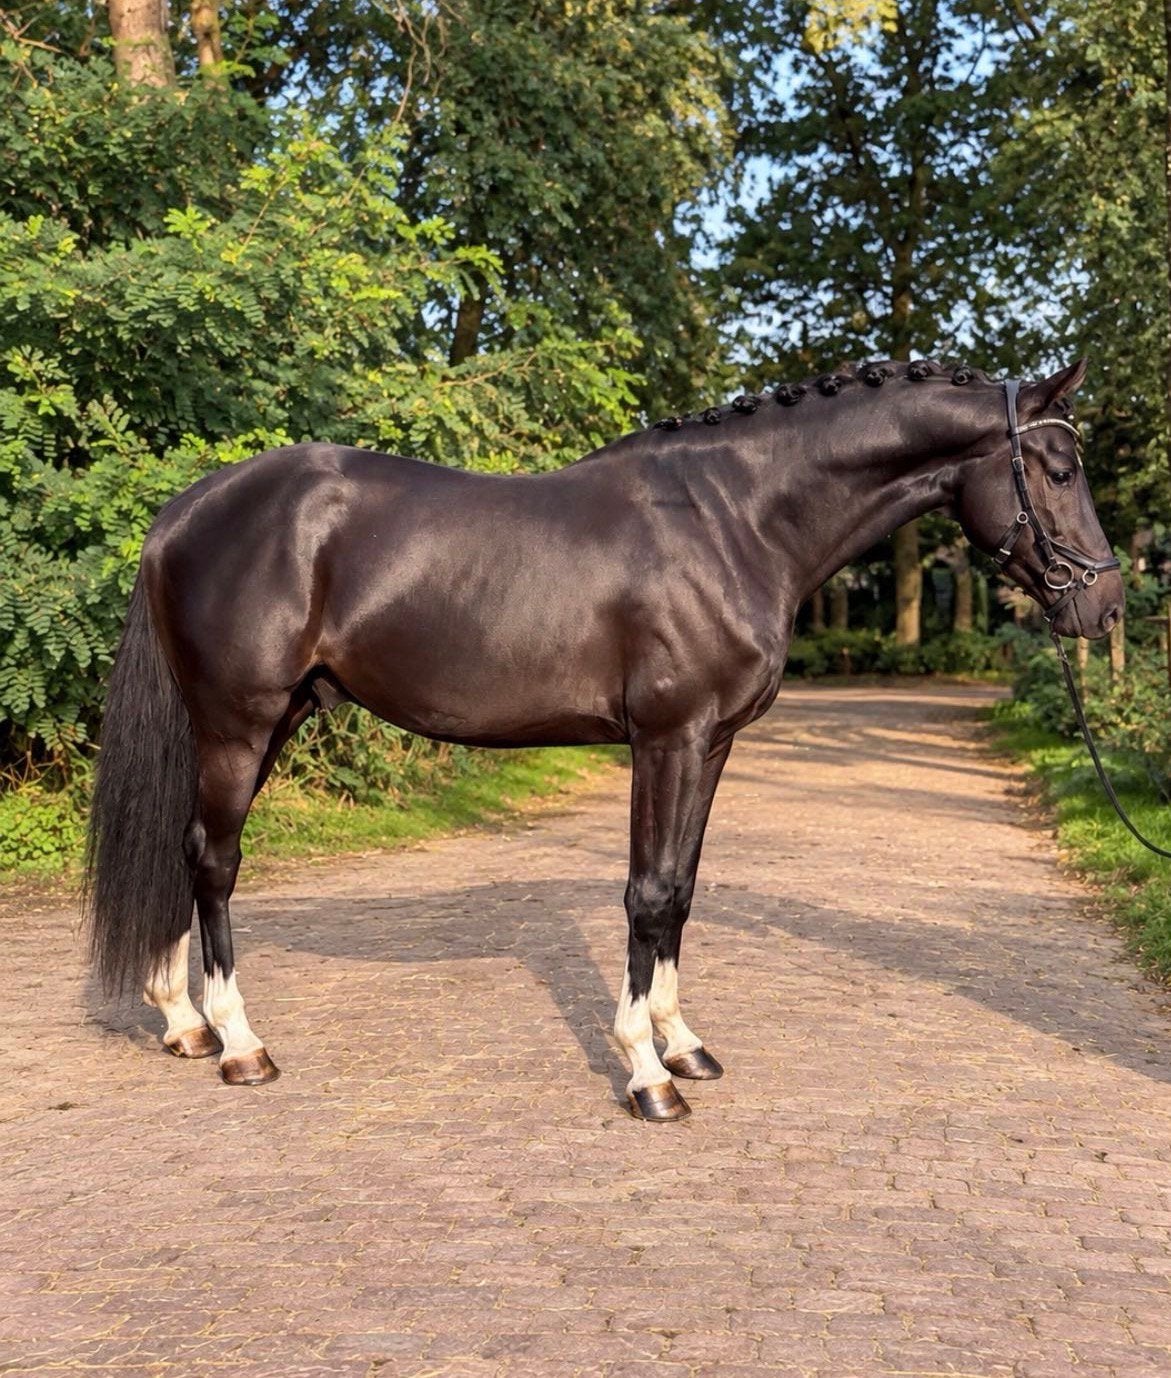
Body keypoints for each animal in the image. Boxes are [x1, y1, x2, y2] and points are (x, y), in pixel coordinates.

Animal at [85, 357, 1123, 1121]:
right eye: (1060, 471)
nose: (1106, 605)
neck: (733, 521)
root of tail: (187, 509)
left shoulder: (711, 745)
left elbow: (682, 894)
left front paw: (683, 1045)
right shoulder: (666, 739)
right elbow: (648, 894)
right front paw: (646, 1075)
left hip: (272, 720)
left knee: (186, 850)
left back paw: (183, 1024)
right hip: (240, 721)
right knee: (215, 860)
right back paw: (241, 1045)